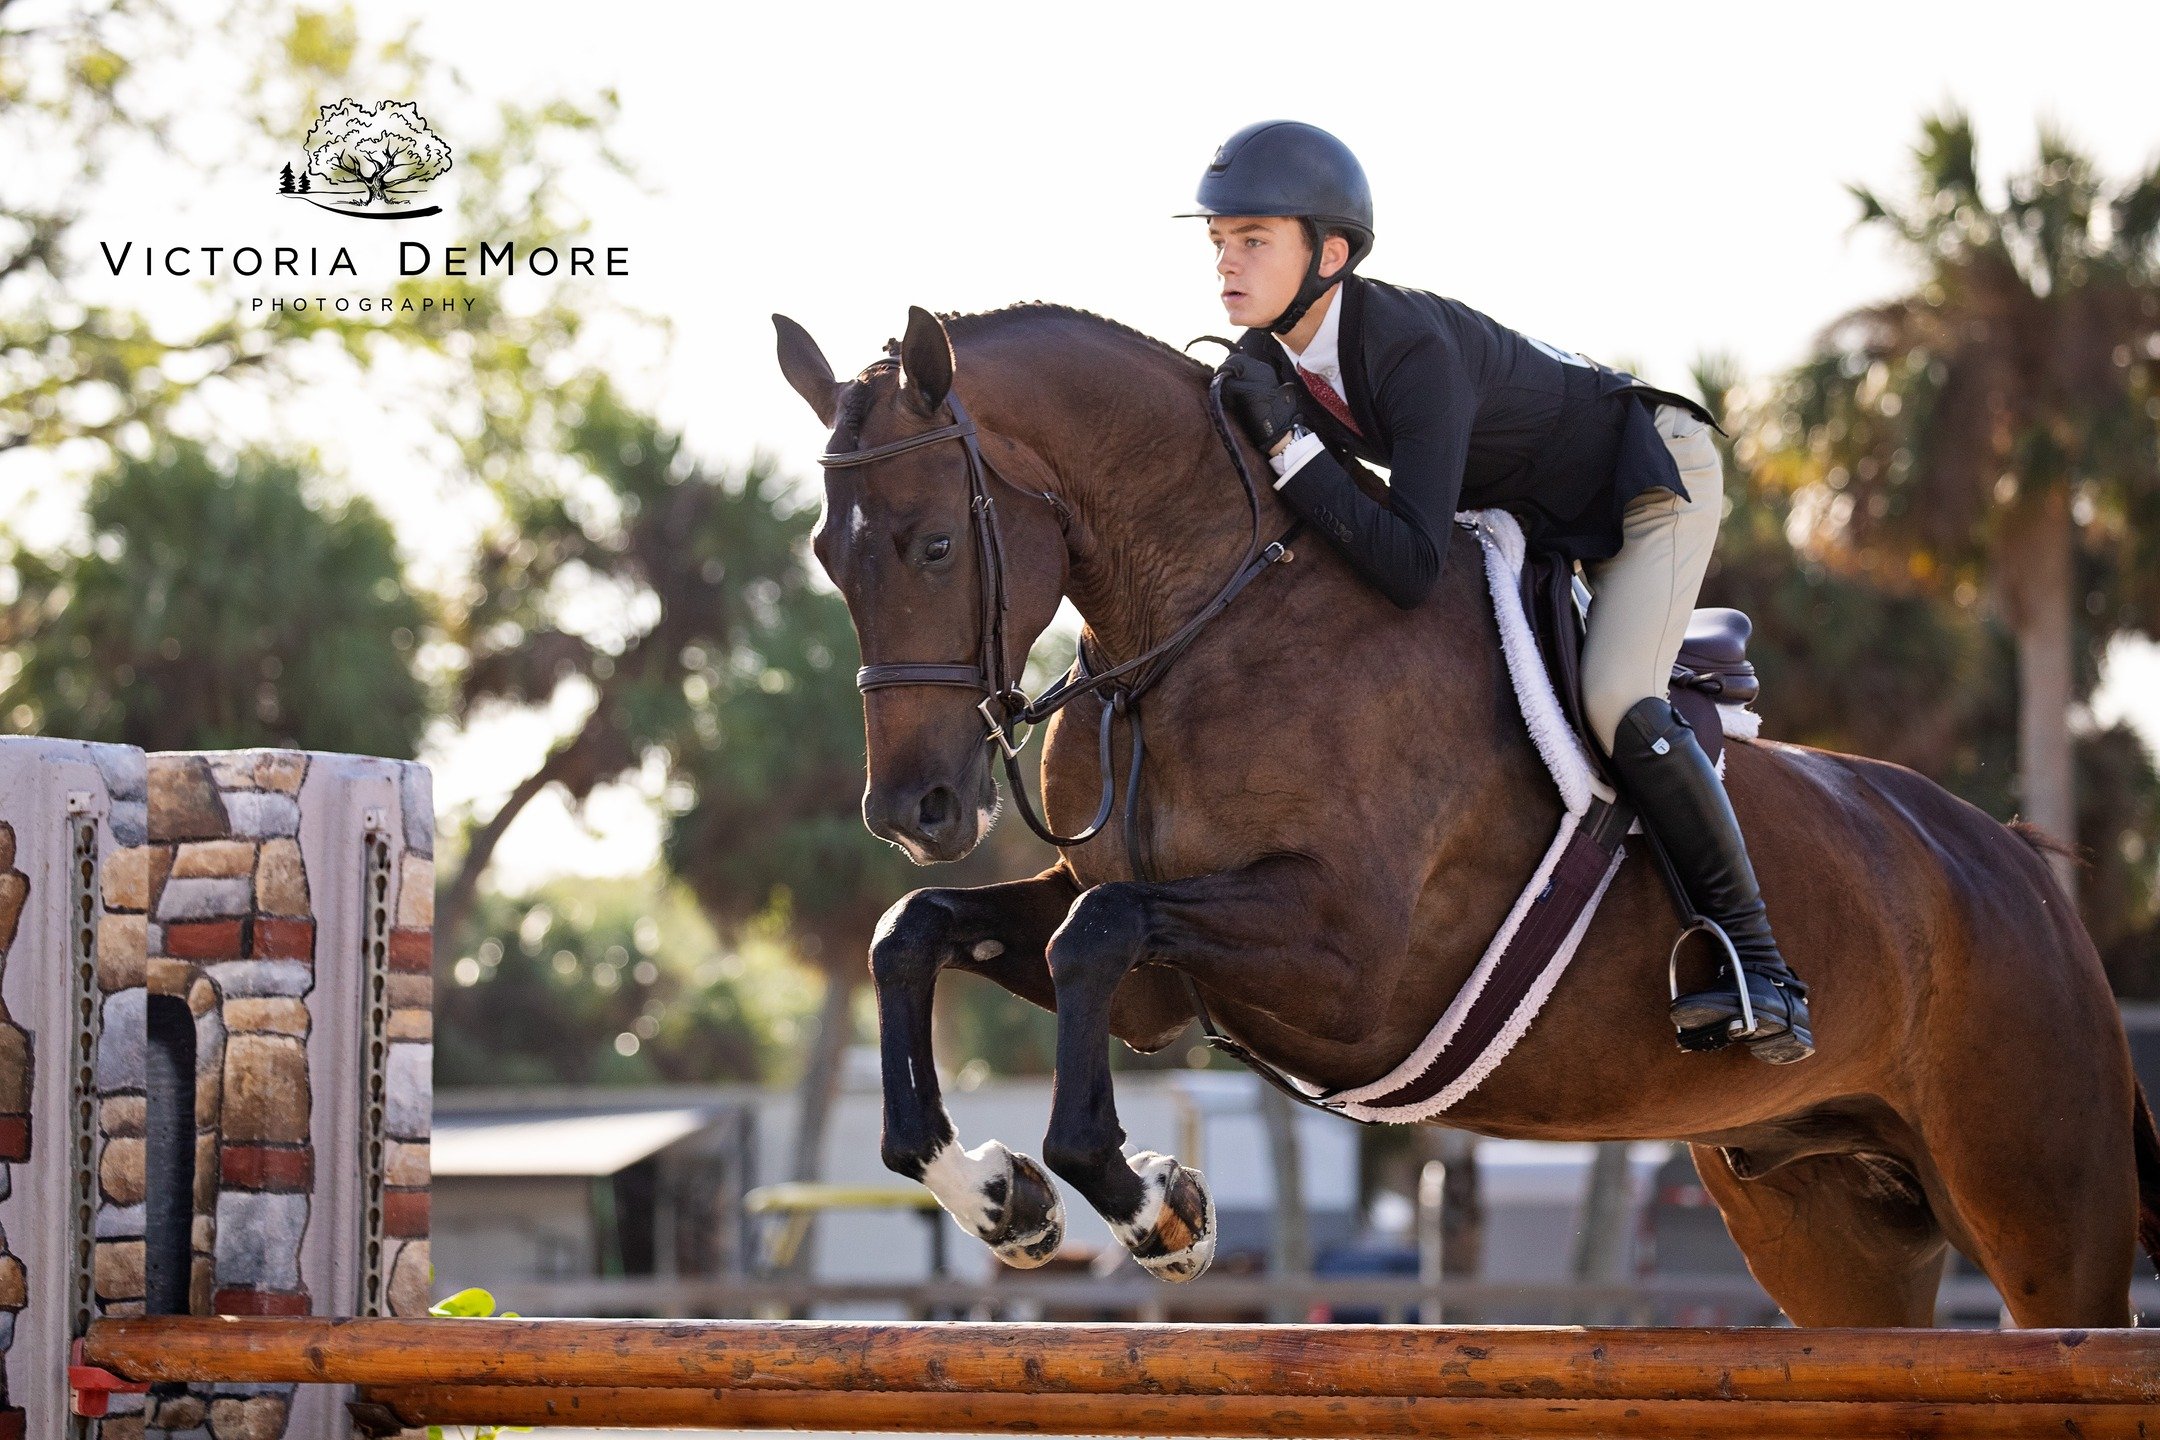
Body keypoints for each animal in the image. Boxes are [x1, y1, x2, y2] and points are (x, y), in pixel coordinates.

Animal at [773, 301, 2160, 1326]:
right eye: (826, 556)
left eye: (935, 545)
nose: (914, 806)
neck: (1202, 624)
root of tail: (2016, 865)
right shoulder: (1167, 979)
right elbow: (920, 929)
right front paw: (1000, 1193)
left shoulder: (1353, 968)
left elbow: (1096, 928)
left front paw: (1155, 1206)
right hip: (1826, 1222)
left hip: (2040, 1210)